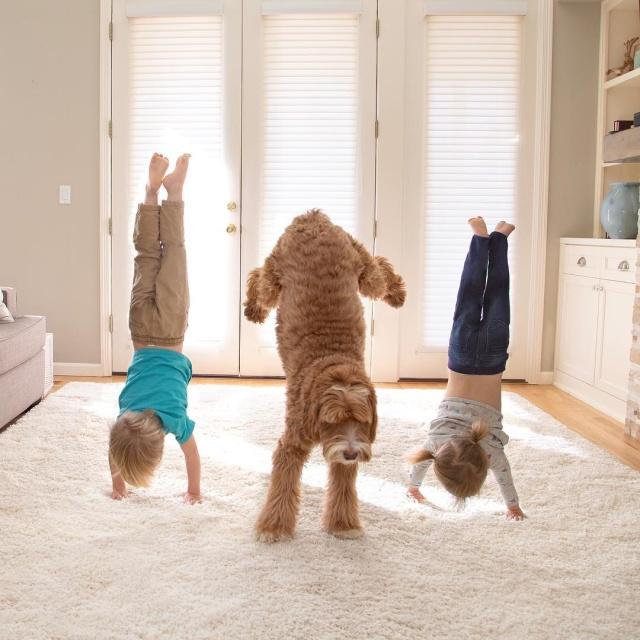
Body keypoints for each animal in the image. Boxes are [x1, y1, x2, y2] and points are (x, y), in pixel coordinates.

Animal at [244, 210, 404, 540]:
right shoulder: (292, 444)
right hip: (274, 277)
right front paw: (273, 527)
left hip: (362, 269)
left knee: (380, 268)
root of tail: (313, 217)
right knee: (257, 278)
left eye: (361, 420)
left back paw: (397, 294)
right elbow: (282, 487)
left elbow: (343, 486)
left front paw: (343, 525)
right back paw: (252, 309)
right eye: (334, 420)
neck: (333, 362)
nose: (354, 454)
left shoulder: (345, 447)